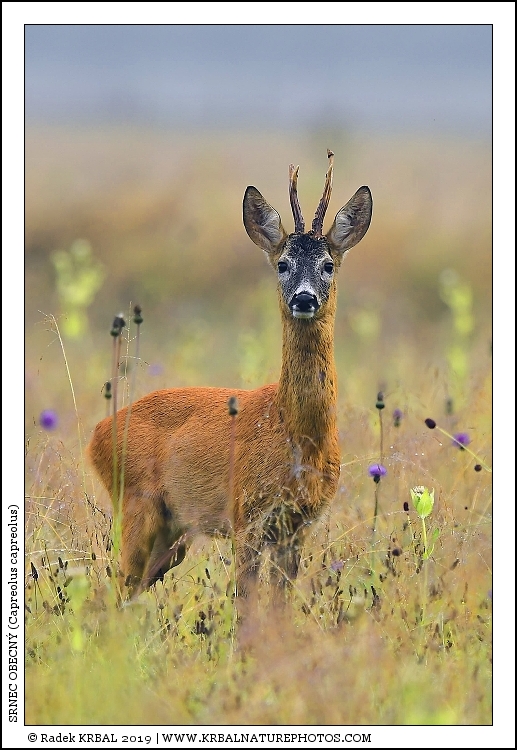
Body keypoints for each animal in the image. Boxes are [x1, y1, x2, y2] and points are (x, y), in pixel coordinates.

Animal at [87, 150, 372, 620]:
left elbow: (277, 610)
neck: (295, 434)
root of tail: (96, 435)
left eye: (329, 264)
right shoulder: (247, 517)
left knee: (125, 591)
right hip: (136, 503)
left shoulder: (297, 526)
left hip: (173, 533)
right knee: (113, 589)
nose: (305, 298)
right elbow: (248, 610)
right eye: (282, 263)